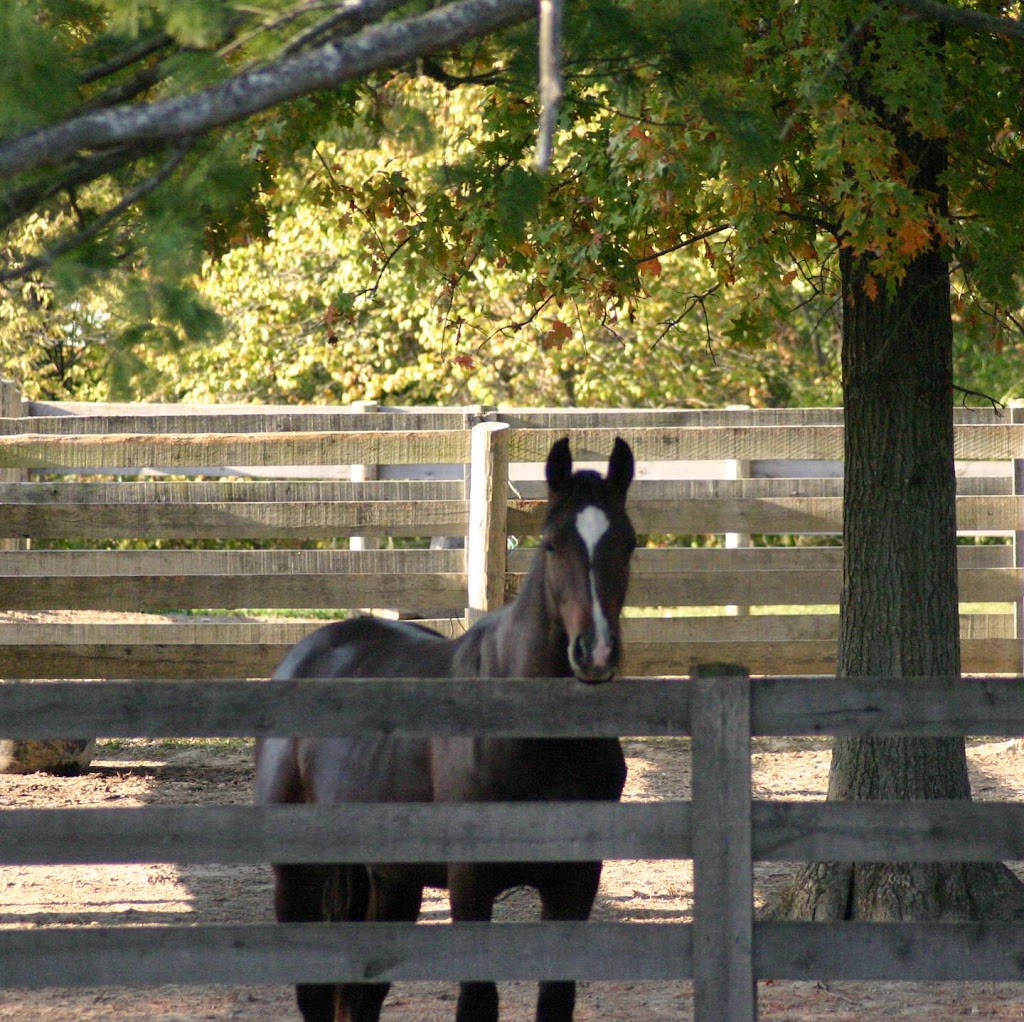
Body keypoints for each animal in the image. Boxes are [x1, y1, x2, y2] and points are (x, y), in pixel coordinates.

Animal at [256, 438, 634, 1022]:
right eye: (551, 545)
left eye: (630, 543)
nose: (594, 652)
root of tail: (309, 653)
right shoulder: (470, 881)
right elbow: (477, 1000)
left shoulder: (575, 881)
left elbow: (556, 998)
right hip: (299, 875)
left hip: (390, 880)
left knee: (364, 994)